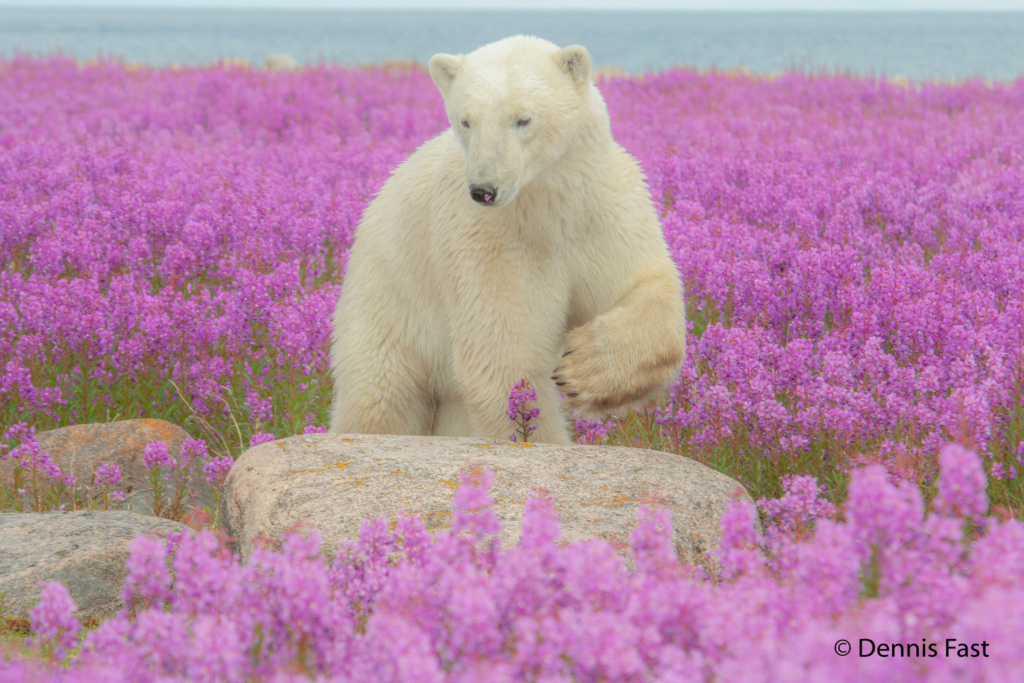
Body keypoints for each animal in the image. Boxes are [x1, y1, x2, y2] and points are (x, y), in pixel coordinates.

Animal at [329, 36, 688, 448]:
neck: (545, 207)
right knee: (380, 398)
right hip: (387, 311)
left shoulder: (601, 213)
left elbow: (644, 288)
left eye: (522, 119)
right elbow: (505, 352)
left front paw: (582, 369)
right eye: (466, 120)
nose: (484, 189)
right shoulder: (490, 241)